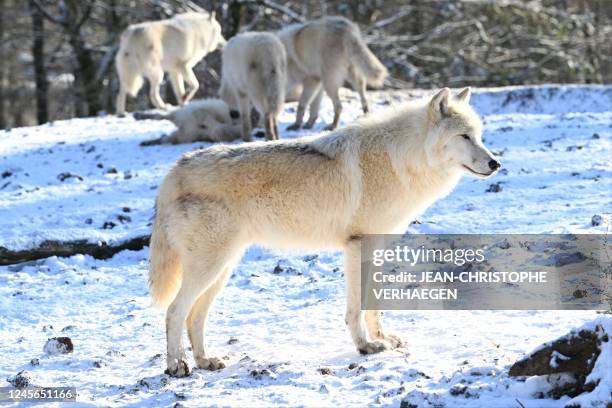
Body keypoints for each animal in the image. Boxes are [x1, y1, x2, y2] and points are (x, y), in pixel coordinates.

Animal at [149, 87, 502, 378]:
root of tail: (174, 170)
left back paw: (205, 361)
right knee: (174, 312)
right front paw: (365, 346)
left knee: (195, 317)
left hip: (222, 268)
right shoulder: (356, 246)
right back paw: (177, 366)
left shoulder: (375, 248)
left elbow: (373, 305)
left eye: (480, 136)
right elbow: (356, 308)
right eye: (465, 136)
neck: (401, 159)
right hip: (210, 267)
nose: (495, 163)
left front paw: (382, 339)